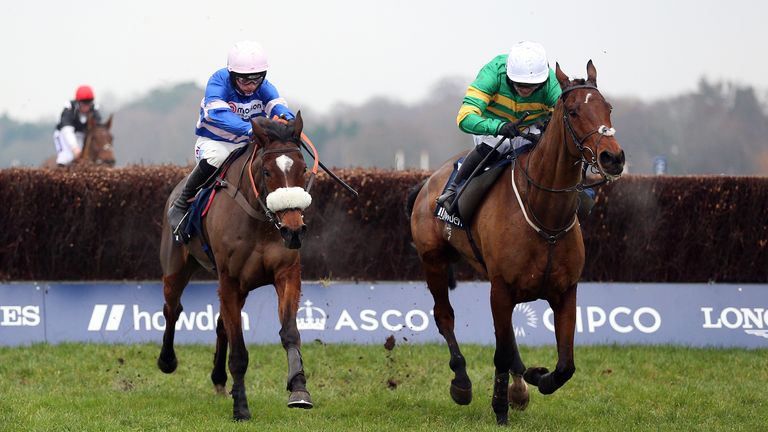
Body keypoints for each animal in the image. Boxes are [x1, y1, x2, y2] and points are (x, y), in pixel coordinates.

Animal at [159, 113, 316, 420]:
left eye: (303, 168)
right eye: (266, 172)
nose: (293, 230)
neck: (259, 220)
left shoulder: (286, 274)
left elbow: (290, 333)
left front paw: (299, 390)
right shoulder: (230, 280)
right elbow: (240, 353)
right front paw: (241, 408)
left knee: (222, 324)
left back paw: (219, 379)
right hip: (176, 267)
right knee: (172, 308)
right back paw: (167, 360)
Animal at [408, 61, 624, 426]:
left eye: (607, 108)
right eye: (574, 111)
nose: (613, 158)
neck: (546, 217)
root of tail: (427, 183)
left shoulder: (565, 291)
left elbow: (565, 365)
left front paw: (535, 379)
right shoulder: (502, 288)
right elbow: (500, 352)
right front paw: (500, 407)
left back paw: (520, 383)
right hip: (433, 260)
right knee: (445, 317)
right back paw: (462, 382)